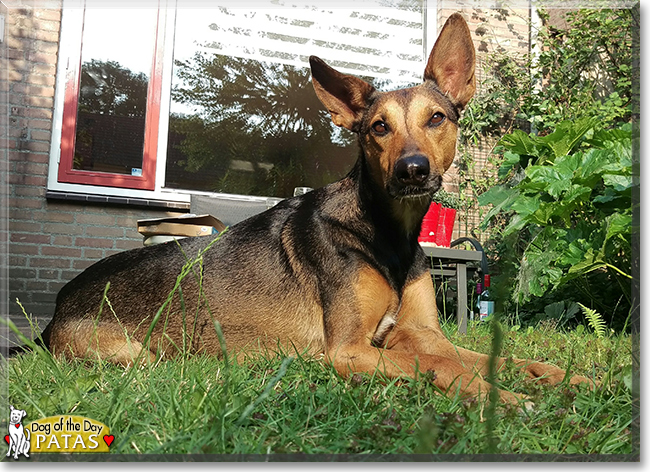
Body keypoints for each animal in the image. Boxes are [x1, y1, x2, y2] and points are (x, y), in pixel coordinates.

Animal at [40, 15, 588, 406]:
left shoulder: (422, 333)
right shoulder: (351, 349)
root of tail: (58, 307)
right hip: (139, 355)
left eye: (436, 118)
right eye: (378, 128)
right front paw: (501, 397)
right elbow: (443, 367)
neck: (384, 234)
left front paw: (562, 375)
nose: (412, 171)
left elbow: (494, 355)